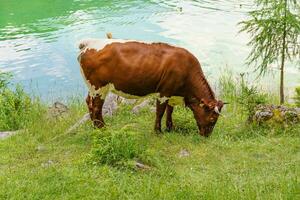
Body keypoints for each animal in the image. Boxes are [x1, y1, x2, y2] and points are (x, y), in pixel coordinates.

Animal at [78, 38, 225, 137]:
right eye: (212, 119)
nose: (207, 135)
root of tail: (88, 43)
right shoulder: (164, 92)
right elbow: (160, 111)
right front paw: (158, 131)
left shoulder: (173, 93)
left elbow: (170, 111)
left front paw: (170, 128)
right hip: (99, 88)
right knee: (97, 108)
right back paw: (102, 129)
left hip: (92, 88)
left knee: (89, 103)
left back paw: (94, 127)